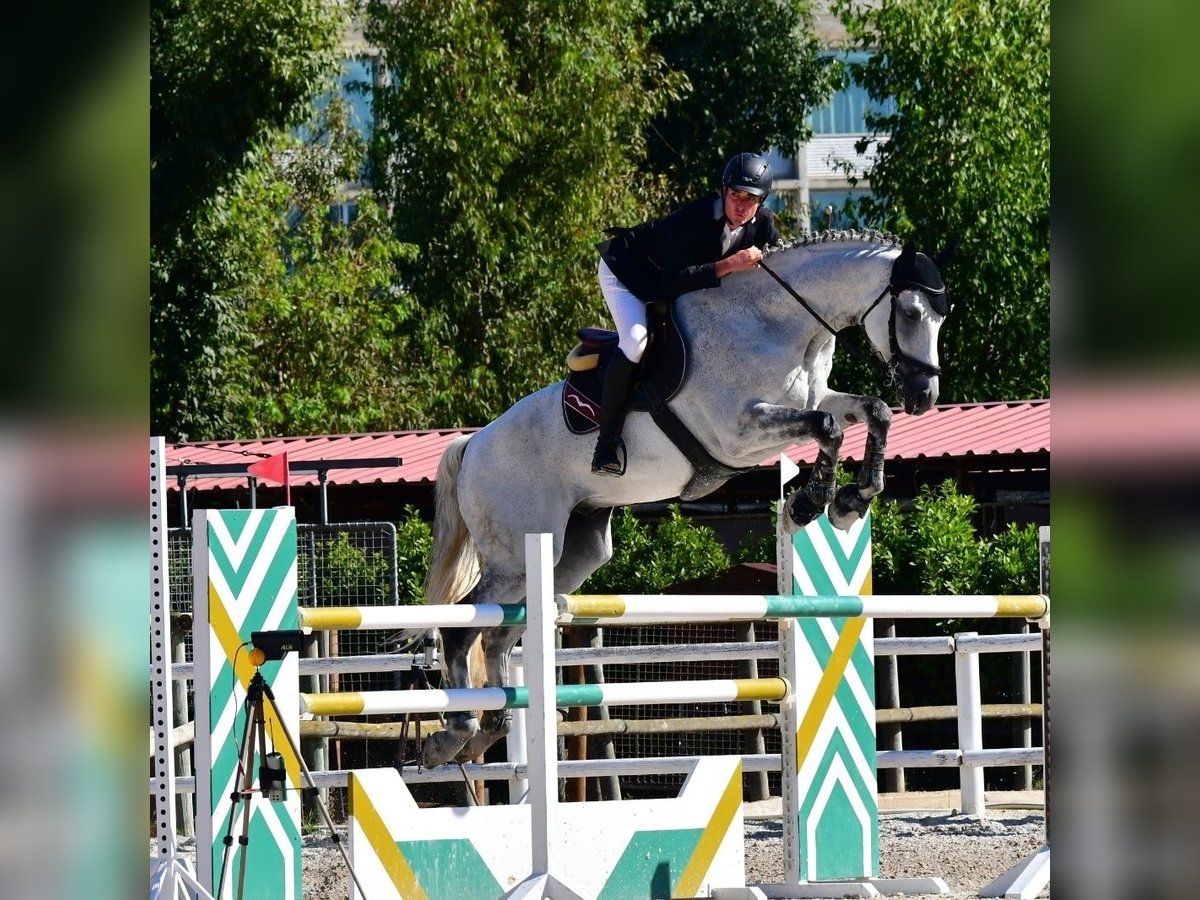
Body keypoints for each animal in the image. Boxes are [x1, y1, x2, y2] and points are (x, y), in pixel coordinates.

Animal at [417, 230, 950, 768]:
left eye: (941, 317)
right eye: (910, 312)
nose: (924, 396)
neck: (778, 323)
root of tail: (474, 444)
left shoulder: (812, 402)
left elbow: (868, 412)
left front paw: (850, 501)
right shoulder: (738, 433)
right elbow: (826, 428)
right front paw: (811, 503)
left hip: (568, 554)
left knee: (499, 633)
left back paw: (487, 729)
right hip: (517, 553)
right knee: (462, 627)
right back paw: (454, 734)